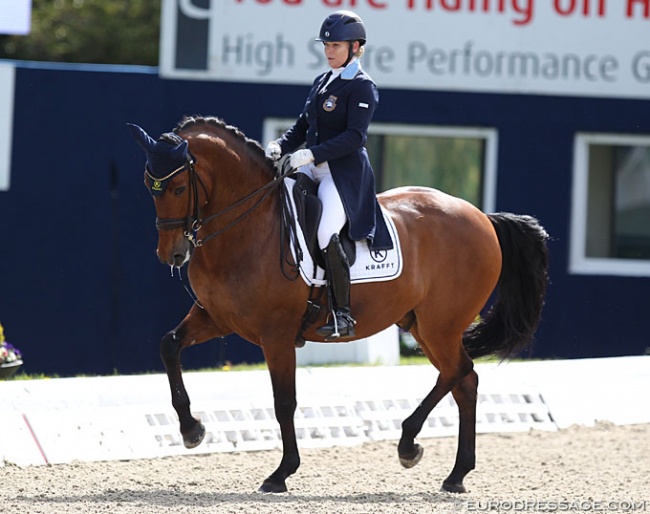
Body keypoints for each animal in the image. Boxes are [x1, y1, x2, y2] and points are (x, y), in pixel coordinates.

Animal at [128, 115, 548, 492]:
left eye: (177, 188)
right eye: (150, 186)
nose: (171, 255)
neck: (248, 228)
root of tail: (482, 218)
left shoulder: (277, 334)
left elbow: (284, 401)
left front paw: (281, 474)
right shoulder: (215, 317)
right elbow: (169, 346)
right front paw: (191, 430)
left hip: (439, 326)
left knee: (459, 372)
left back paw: (410, 445)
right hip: (421, 325)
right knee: (464, 381)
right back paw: (455, 474)